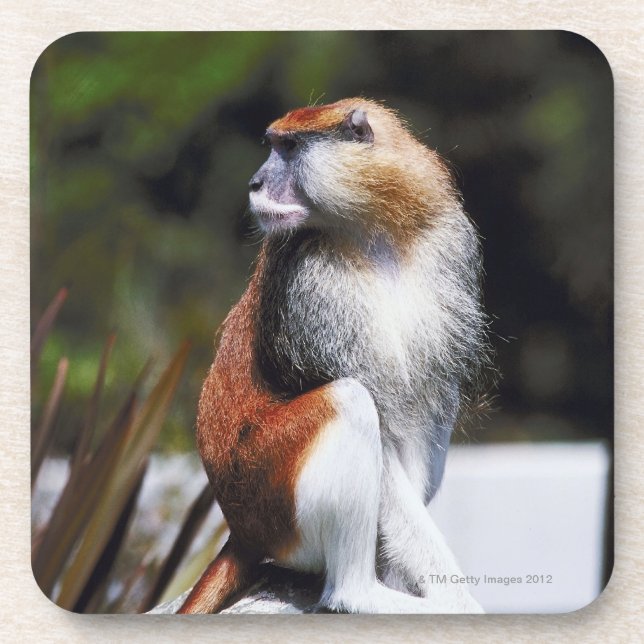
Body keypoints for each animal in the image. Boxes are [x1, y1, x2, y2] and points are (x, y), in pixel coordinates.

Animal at [178, 98, 491, 614]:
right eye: (274, 145)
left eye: (288, 148)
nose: (255, 184)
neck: (374, 228)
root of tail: (241, 532)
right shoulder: (313, 286)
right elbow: (380, 436)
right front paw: (459, 602)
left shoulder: (447, 245)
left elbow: (419, 414)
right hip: (273, 495)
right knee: (349, 401)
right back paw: (358, 593)